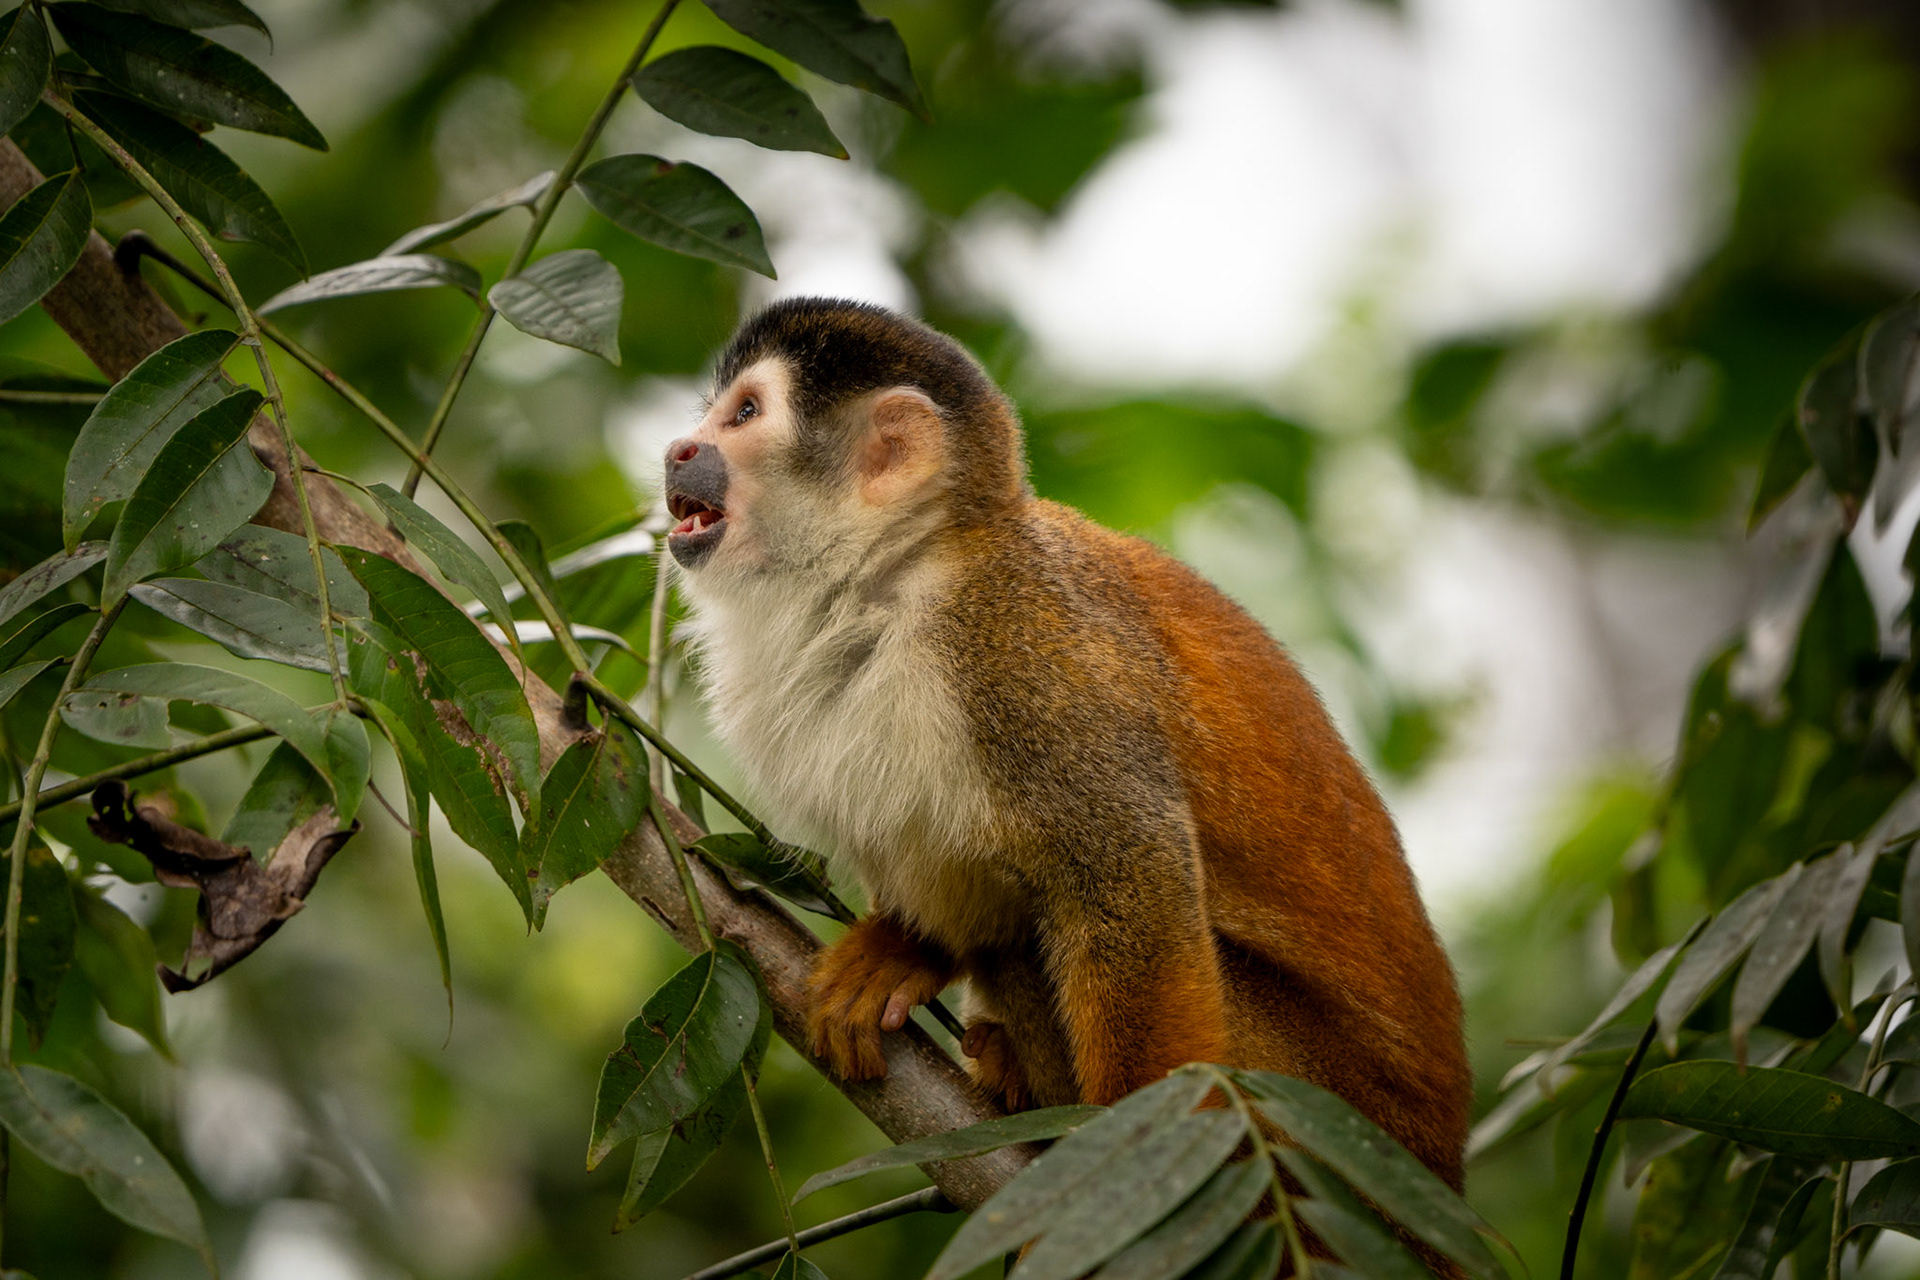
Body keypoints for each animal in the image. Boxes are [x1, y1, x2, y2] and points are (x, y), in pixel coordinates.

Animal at [660, 297, 1471, 1192]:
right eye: (716, 412)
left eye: (744, 414)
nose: (678, 448)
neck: (891, 584)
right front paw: (904, 950)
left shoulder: (1021, 654)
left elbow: (1131, 877)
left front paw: (1137, 1151)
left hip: (1318, 1111)